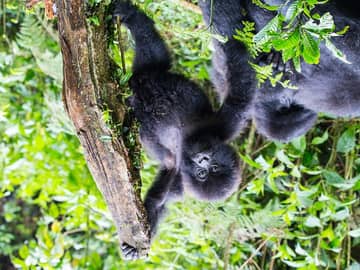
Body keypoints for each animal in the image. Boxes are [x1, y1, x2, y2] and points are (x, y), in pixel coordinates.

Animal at [112, 0, 253, 260]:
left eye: (204, 173)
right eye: (209, 166)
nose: (202, 160)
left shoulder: (181, 182)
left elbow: (163, 192)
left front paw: (141, 240)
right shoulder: (225, 126)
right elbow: (240, 90)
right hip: (151, 72)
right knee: (152, 51)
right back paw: (132, 16)